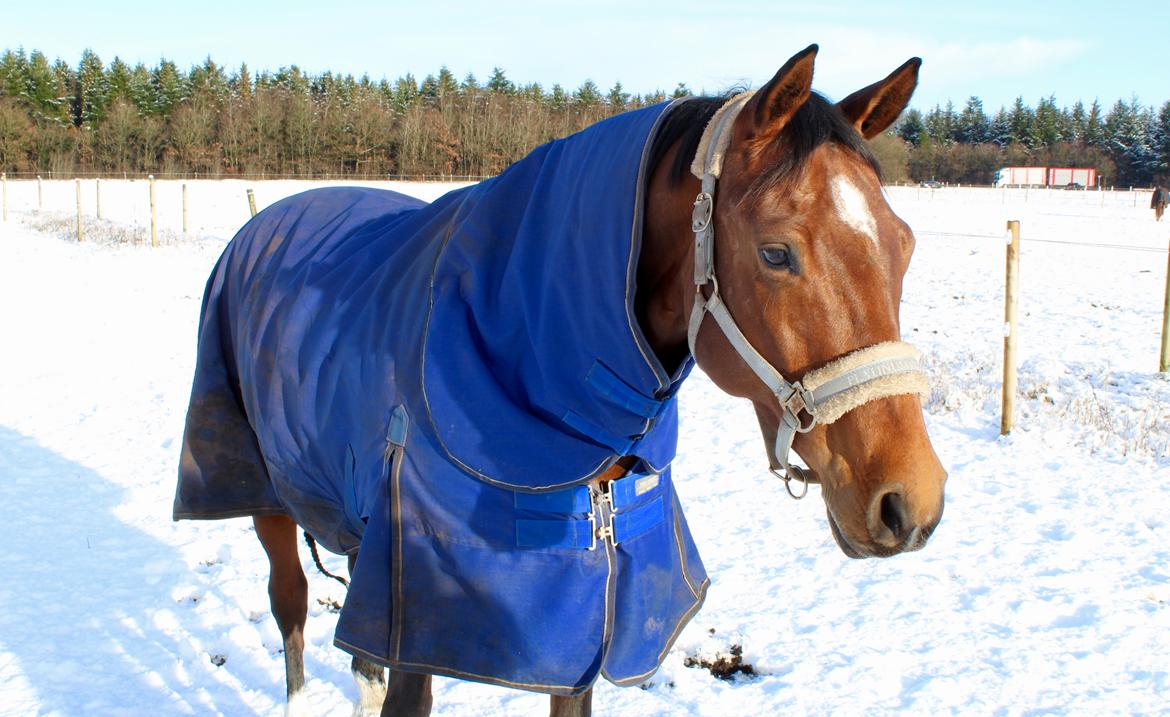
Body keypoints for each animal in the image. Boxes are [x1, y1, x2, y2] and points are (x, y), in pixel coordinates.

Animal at [225, 46, 940, 715]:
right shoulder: (417, 612)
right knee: (290, 601)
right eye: (775, 253)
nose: (913, 501)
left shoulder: (585, 622)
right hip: (264, 492)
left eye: (905, 244)